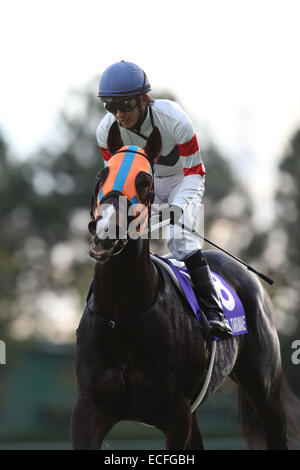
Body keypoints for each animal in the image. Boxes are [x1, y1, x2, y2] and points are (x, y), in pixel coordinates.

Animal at [71, 123, 298, 450]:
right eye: (103, 175)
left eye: (144, 181)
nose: (105, 229)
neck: (122, 316)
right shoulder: (89, 410)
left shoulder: (175, 414)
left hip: (264, 391)